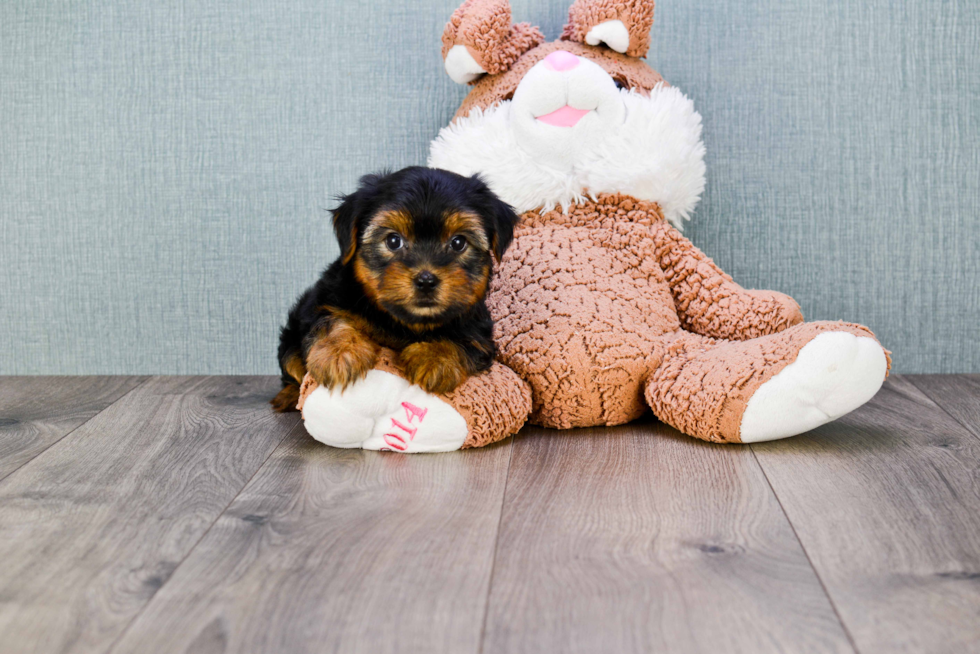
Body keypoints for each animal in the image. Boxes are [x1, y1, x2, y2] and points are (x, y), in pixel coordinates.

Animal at [272, 167, 520, 412]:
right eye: (393, 241)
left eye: (458, 243)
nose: (426, 280)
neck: (406, 322)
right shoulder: (327, 300)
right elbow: (330, 320)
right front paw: (339, 353)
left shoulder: (478, 328)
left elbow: (466, 338)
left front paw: (435, 357)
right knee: (291, 363)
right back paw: (289, 395)